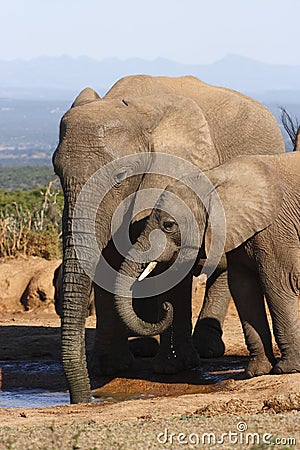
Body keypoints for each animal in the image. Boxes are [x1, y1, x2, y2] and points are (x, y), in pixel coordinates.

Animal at [113, 151, 298, 376]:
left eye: (168, 225)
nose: (166, 306)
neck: (212, 179)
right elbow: (242, 288)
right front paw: (256, 372)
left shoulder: (274, 230)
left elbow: (279, 284)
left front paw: (286, 369)